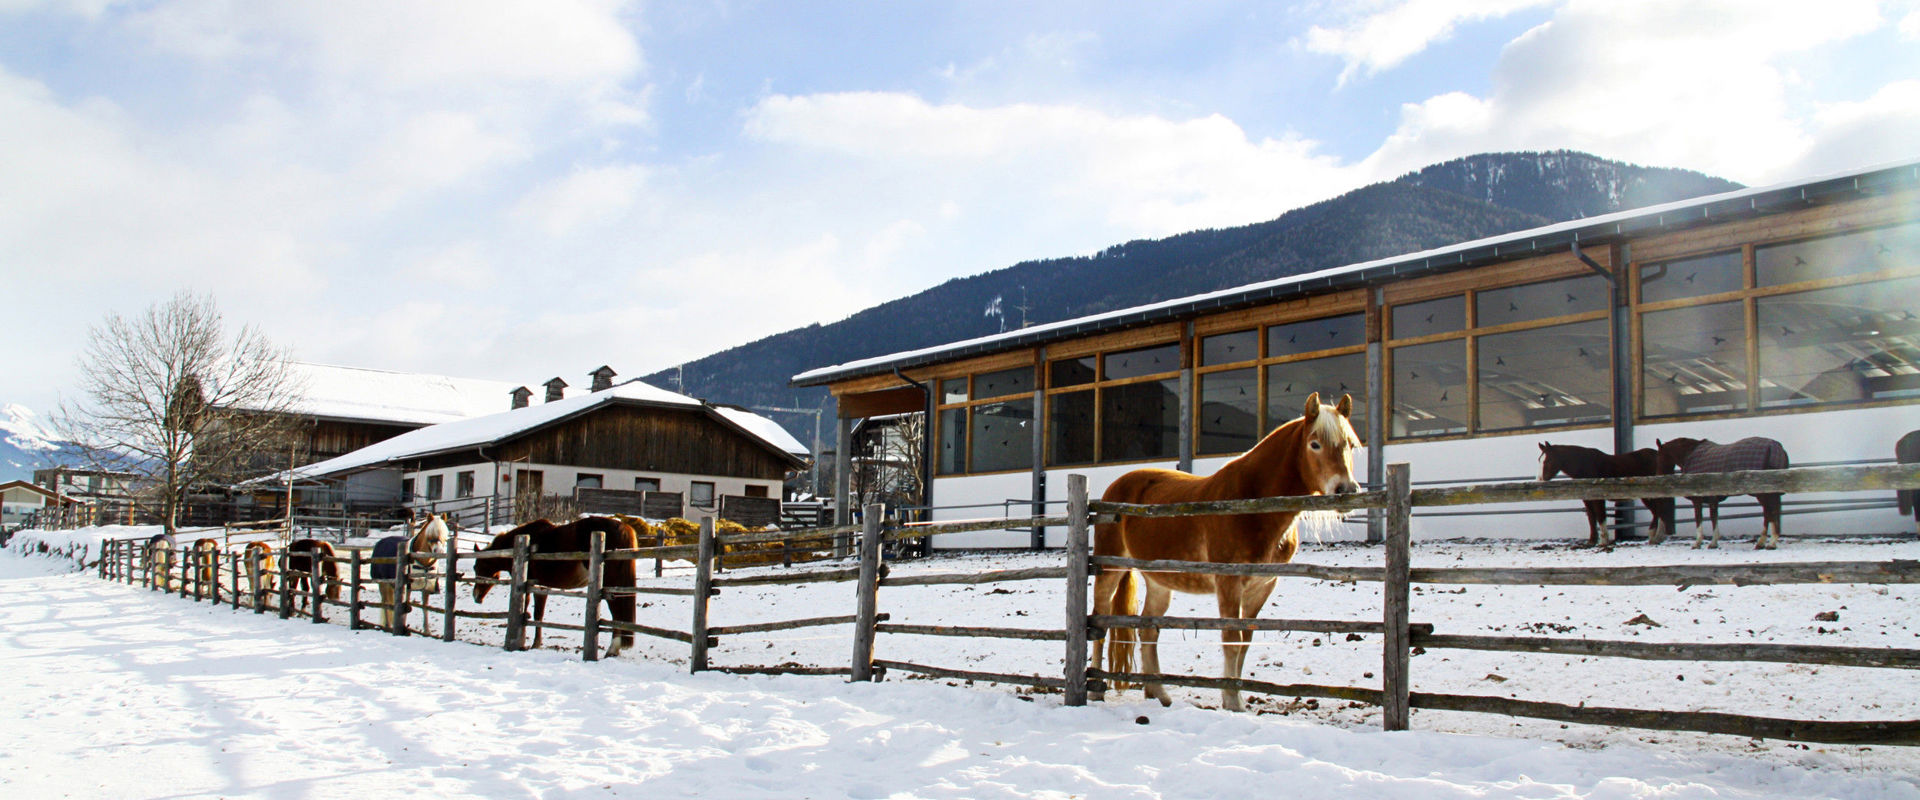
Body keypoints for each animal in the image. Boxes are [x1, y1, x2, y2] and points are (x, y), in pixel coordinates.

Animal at [471, 516, 639, 656]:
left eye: (478, 566)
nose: (476, 596)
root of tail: (624, 527)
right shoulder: (543, 587)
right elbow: (537, 615)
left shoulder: (534, 587)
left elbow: (529, 612)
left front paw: (529, 644)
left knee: (616, 612)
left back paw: (612, 649)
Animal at [1092, 391, 1361, 712]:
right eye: (1315, 443)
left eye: (1350, 444)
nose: (1345, 490)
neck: (1252, 505)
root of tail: (1113, 490)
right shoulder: (1229, 583)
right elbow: (1231, 638)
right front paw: (1232, 700)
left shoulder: (1261, 587)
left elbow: (1245, 639)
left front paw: (1236, 695)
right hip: (1110, 571)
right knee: (1099, 620)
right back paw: (1095, 691)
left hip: (1159, 582)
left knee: (1148, 629)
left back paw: (1158, 692)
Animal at [1537, 442, 1675, 548]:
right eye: (1539, 460)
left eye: (1548, 460)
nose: (1539, 480)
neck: (1586, 465)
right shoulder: (1587, 500)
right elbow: (1591, 519)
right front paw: (1591, 541)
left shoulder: (1598, 498)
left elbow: (1600, 516)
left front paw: (1604, 541)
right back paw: (1657, 537)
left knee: (1658, 511)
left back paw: (1655, 537)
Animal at [1655, 436, 1790, 549]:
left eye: (1659, 456)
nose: (1659, 475)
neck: (1690, 455)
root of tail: (1775, 446)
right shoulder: (1713, 499)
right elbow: (1714, 517)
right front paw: (1713, 542)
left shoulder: (1698, 500)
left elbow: (1701, 518)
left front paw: (1701, 543)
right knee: (1769, 513)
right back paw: (1762, 543)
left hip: (1764, 494)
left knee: (1770, 512)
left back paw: (1770, 543)